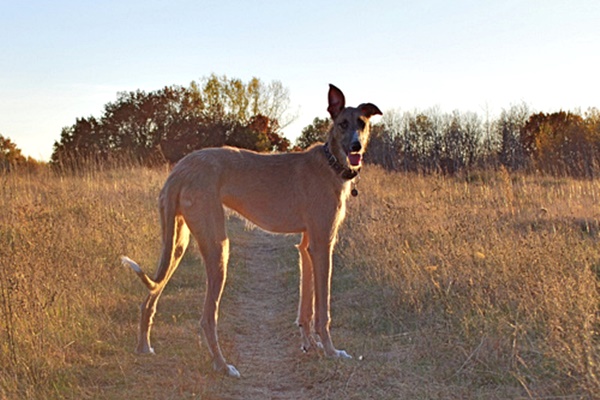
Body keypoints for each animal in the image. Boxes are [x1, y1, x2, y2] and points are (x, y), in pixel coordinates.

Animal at [121, 84, 380, 378]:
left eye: (362, 123)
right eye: (342, 123)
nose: (356, 146)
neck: (330, 162)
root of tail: (180, 169)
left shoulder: (306, 247)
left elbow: (306, 308)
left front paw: (309, 345)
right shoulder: (323, 245)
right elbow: (322, 310)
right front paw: (331, 351)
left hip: (177, 244)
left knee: (149, 299)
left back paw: (144, 347)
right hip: (218, 247)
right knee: (207, 318)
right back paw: (223, 366)